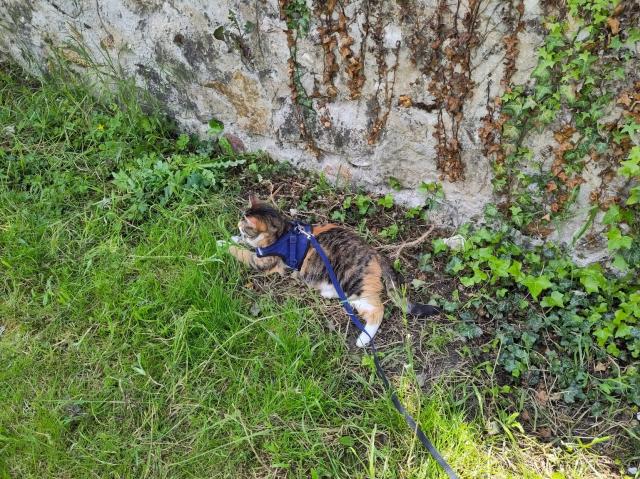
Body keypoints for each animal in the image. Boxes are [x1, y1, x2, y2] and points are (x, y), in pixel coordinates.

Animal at [221, 195, 440, 348]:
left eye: (244, 225)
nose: (237, 225)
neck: (282, 232)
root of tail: (375, 253)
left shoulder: (263, 261)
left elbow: (242, 252)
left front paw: (221, 244)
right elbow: (242, 245)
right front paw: (230, 238)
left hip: (354, 283)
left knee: (379, 310)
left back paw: (363, 340)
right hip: (351, 295)